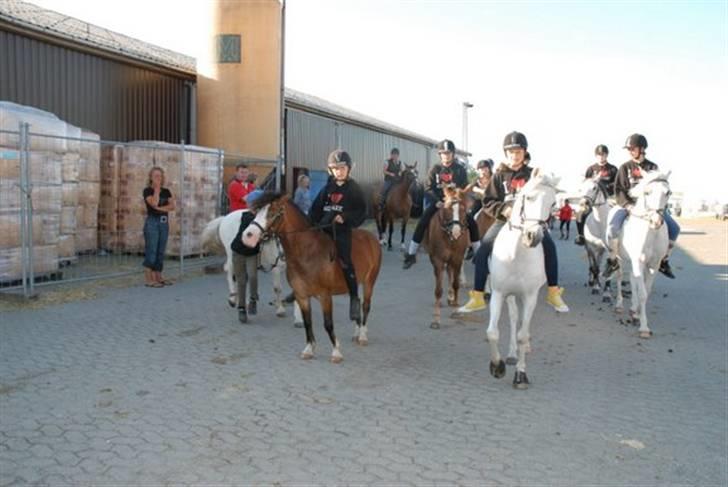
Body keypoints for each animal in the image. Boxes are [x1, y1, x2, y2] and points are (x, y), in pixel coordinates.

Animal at [242, 193, 384, 364]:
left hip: (370, 281)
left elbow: (328, 324)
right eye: (257, 212)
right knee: (356, 301)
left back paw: (362, 335)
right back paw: (357, 332)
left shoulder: (325, 296)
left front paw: (336, 352)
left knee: (366, 305)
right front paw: (309, 349)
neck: (308, 252)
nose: (247, 236)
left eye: (272, 213)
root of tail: (371, 237)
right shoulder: (302, 295)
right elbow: (307, 322)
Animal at [424, 185, 470, 330]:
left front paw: (455, 311)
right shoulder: (438, 261)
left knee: (450, 274)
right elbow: (438, 290)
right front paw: (436, 320)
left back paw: (451, 298)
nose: (456, 231)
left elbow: (456, 284)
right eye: (448, 208)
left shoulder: (458, 259)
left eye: (463, 209)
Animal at [486, 170, 560, 390]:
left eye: (553, 203)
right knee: (513, 318)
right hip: (510, 295)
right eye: (528, 198)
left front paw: (520, 375)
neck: (517, 254)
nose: (532, 236)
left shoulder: (530, 296)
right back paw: (510, 355)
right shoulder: (499, 293)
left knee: (522, 327)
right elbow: (493, 332)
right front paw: (497, 366)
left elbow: (522, 335)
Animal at [612, 170, 668, 338]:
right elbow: (642, 293)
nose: (656, 221)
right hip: (620, 258)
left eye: (668, 193)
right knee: (620, 277)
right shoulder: (639, 260)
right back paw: (619, 305)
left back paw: (633, 308)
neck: (651, 233)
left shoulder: (653, 265)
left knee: (633, 279)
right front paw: (644, 327)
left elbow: (645, 291)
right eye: (647, 192)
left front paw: (637, 314)